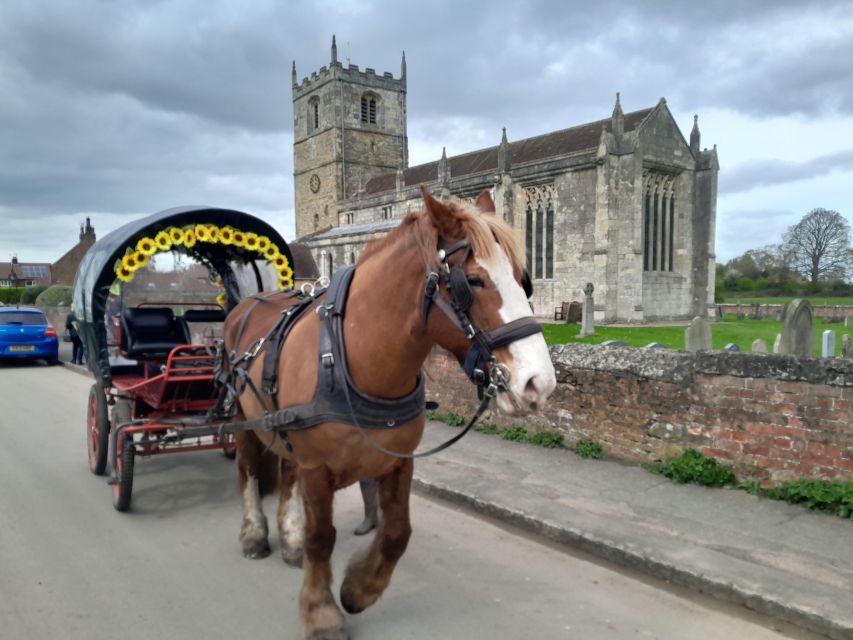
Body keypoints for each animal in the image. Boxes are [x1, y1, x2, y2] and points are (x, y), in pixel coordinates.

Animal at [223, 185, 556, 640]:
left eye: (525, 279)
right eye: (472, 280)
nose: (539, 382)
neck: (353, 356)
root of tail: (247, 304)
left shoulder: (397, 462)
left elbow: (398, 532)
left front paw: (358, 589)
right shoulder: (318, 469)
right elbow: (321, 536)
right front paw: (321, 611)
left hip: (284, 424)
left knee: (285, 471)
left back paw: (289, 541)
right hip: (245, 420)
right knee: (248, 470)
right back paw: (254, 534)